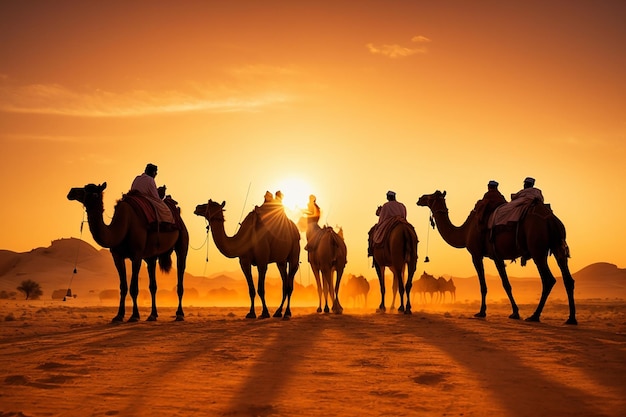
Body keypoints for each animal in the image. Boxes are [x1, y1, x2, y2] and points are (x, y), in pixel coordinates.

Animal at [66, 182, 188, 322]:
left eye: (93, 192)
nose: (71, 192)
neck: (123, 226)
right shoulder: (117, 256)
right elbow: (123, 287)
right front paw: (119, 315)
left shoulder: (136, 255)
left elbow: (133, 288)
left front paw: (134, 316)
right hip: (151, 256)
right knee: (153, 285)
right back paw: (153, 315)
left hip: (182, 243)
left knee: (180, 276)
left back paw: (179, 314)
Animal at [416, 190, 572, 324]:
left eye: (431, 196)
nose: (420, 198)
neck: (465, 232)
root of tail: (552, 220)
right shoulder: (497, 256)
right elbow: (506, 284)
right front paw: (515, 312)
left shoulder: (476, 254)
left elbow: (483, 285)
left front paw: (481, 312)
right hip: (557, 246)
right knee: (567, 278)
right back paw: (571, 319)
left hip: (537, 250)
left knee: (548, 279)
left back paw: (534, 316)